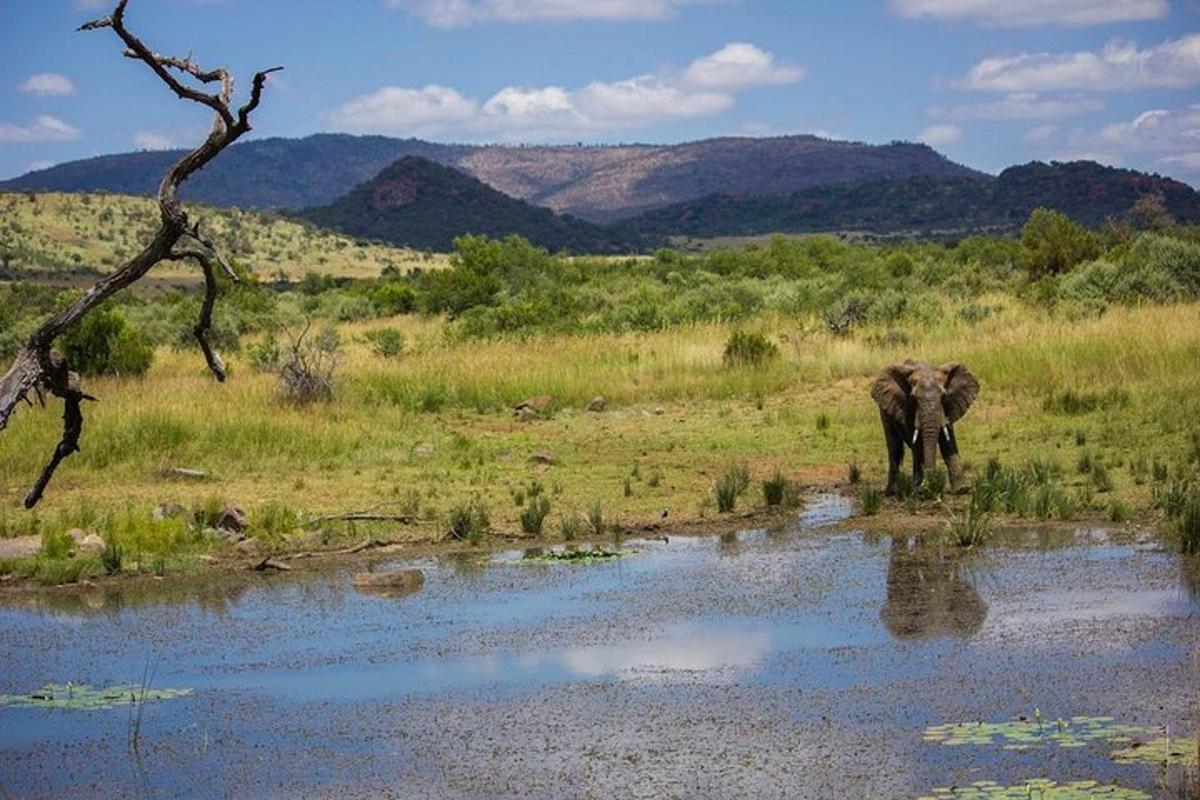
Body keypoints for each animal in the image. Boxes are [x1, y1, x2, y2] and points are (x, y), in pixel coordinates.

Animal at [873, 362, 974, 494]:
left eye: (943, 396)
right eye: (913, 398)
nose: (932, 483)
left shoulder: (947, 408)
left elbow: (948, 442)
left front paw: (962, 490)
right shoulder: (906, 409)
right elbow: (918, 444)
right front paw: (920, 490)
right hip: (885, 411)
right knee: (895, 447)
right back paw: (893, 491)